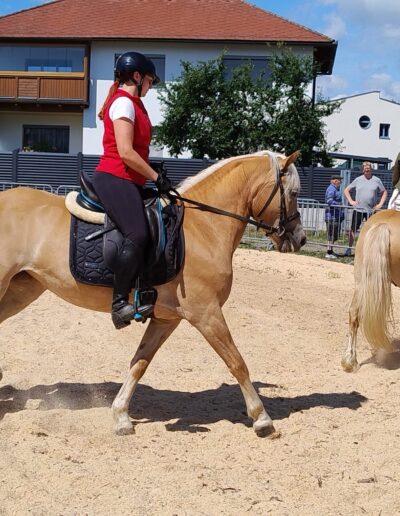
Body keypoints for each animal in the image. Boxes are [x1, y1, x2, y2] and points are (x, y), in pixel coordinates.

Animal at [0, 150, 306, 436]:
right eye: (293, 193)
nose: (300, 238)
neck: (203, 228)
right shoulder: (206, 313)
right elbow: (236, 361)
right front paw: (262, 419)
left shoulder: (167, 319)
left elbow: (140, 362)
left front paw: (121, 416)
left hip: (22, 289)